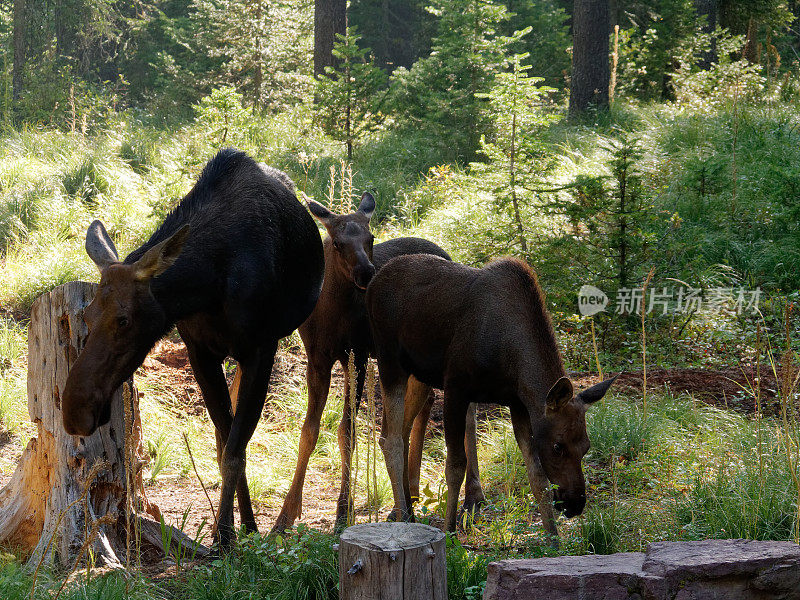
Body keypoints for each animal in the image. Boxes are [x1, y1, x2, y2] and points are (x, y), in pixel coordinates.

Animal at [61, 149, 324, 548]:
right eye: (87, 314)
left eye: (123, 320)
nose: (75, 411)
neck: (209, 284)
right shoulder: (200, 351)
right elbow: (225, 444)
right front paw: (231, 529)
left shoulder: (261, 349)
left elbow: (234, 450)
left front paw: (228, 537)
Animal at [272, 195, 484, 532]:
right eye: (336, 243)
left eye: (371, 238)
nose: (366, 273)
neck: (331, 314)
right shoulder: (316, 359)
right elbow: (309, 431)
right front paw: (285, 516)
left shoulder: (357, 355)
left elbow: (347, 430)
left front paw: (343, 511)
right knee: (425, 404)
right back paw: (410, 492)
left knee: (467, 411)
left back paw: (472, 497)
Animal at [366, 253, 616, 544]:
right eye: (558, 446)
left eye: (586, 446)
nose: (575, 504)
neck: (511, 360)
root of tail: (374, 282)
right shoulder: (456, 388)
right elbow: (455, 465)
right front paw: (450, 531)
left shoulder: (518, 403)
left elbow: (536, 474)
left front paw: (553, 539)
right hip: (390, 362)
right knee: (391, 439)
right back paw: (404, 516)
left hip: (420, 376)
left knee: (400, 432)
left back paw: (407, 510)